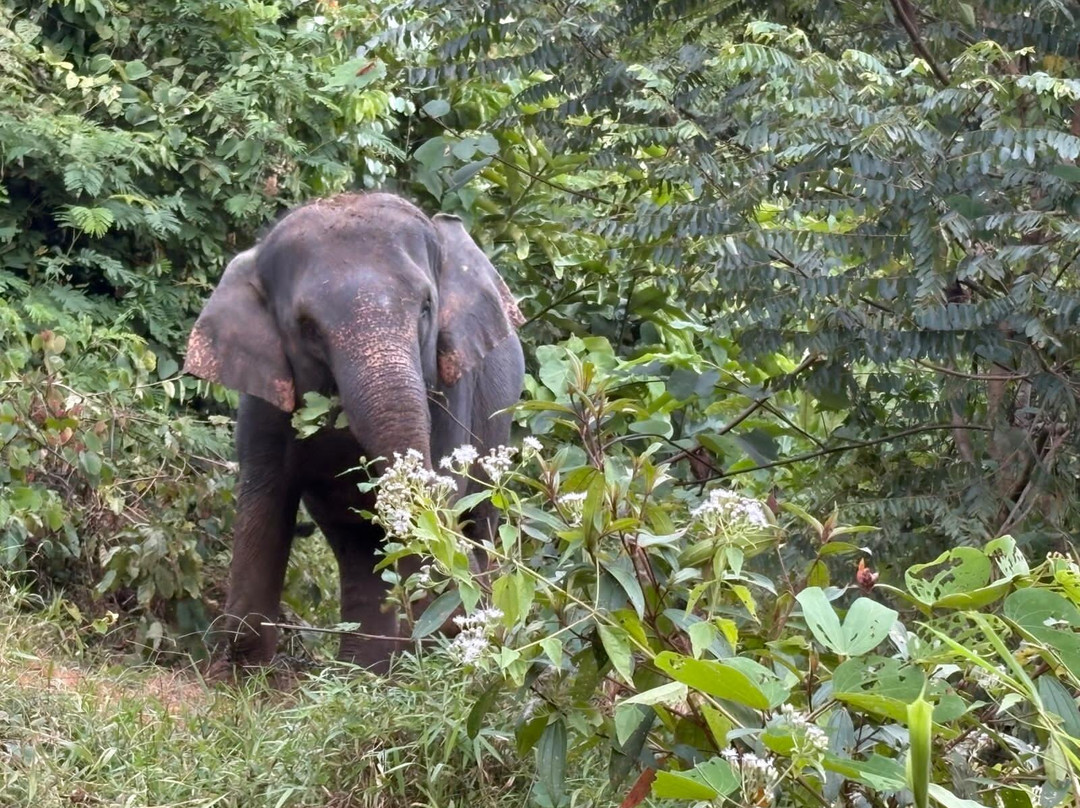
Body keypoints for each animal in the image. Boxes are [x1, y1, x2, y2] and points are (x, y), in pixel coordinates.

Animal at [183, 192, 525, 674]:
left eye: (426, 306)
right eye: (306, 326)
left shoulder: (452, 386)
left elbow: (442, 493)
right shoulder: (264, 397)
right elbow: (265, 503)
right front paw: (238, 677)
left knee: (480, 522)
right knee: (358, 546)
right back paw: (363, 674)